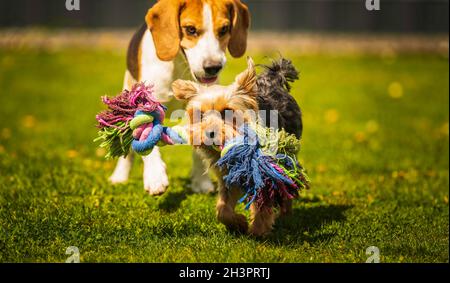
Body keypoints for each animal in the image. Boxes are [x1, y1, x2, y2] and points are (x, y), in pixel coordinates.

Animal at [107, 0, 251, 195]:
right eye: (190, 29)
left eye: (224, 29)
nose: (213, 67)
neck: (179, 66)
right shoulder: (146, 104)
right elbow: (146, 133)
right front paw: (155, 177)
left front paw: (201, 182)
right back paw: (119, 176)